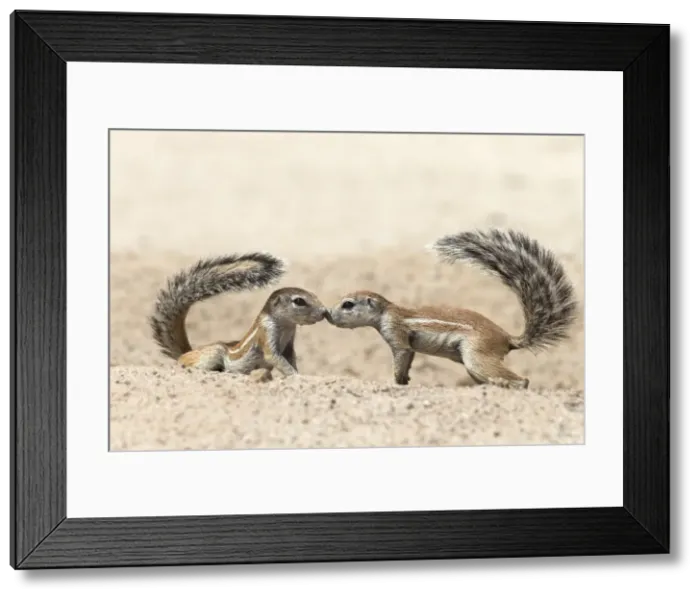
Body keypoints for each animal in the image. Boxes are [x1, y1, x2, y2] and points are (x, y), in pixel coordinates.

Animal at [149, 252, 328, 377]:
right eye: (299, 301)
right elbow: (275, 358)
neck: (286, 326)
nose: (323, 312)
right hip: (214, 353)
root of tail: (185, 354)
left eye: (314, 294)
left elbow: (290, 359)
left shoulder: (290, 342)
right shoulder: (266, 333)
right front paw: (296, 376)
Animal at [326, 228, 578, 389]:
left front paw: (396, 383)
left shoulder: (396, 332)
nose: (328, 314)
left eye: (348, 304)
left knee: (521, 380)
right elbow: (409, 358)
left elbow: (402, 355)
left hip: (477, 355)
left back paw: (504, 385)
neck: (387, 310)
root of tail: (507, 338)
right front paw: (405, 381)